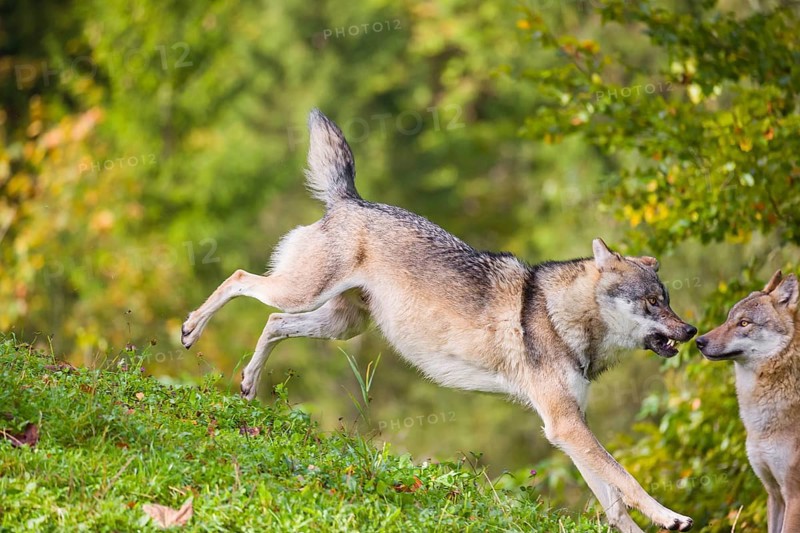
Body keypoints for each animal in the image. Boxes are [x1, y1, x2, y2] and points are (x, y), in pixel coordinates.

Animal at [181, 109, 697, 532]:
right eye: (653, 302)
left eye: (668, 301)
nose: (691, 331)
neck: (560, 317)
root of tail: (352, 200)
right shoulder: (566, 426)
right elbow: (627, 479)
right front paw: (670, 517)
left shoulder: (569, 427)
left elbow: (614, 500)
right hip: (302, 294)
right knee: (239, 278)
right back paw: (190, 330)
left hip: (339, 325)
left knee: (272, 322)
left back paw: (249, 384)